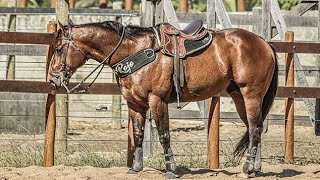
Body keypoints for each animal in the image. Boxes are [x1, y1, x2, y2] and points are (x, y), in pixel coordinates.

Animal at [47, 20, 278, 178]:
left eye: (58, 49)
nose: (53, 78)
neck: (134, 51)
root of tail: (264, 43)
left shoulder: (157, 100)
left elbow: (163, 134)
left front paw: (170, 169)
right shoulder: (135, 103)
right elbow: (138, 134)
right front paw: (136, 168)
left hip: (251, 95)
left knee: (255, 129)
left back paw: (248, 168)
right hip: (239, 96)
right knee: (255, 127)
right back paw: (255, 168)